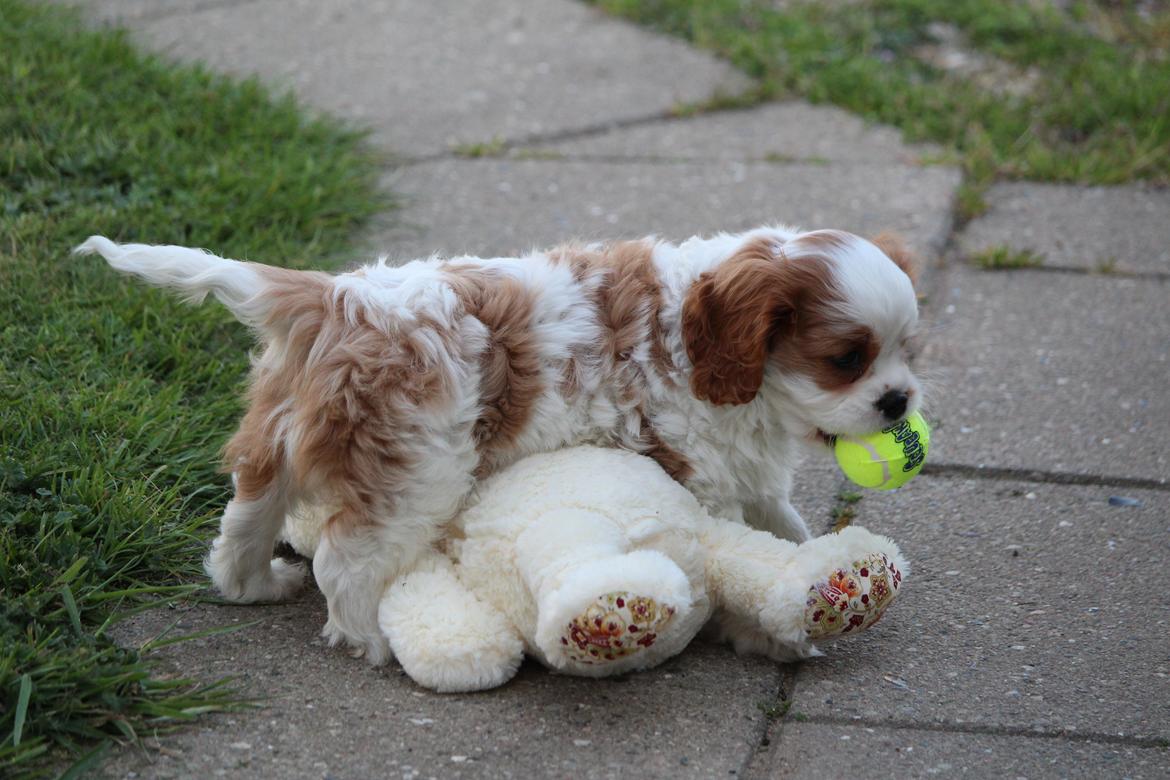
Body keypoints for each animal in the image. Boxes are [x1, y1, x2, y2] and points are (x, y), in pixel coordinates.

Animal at [80, 225, 921, 664]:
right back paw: (371, 642)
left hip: (278, 444)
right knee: (344, 561)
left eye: (909, 351)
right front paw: (768, 630)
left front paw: (815, 575)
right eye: (847, 358)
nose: (899, 400)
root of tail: (338, 299)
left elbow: (784, 525)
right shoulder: (701, 475)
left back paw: (254, 585)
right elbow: (736, 547)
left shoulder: (754, 476)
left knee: (242, 525)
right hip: (416, 474)